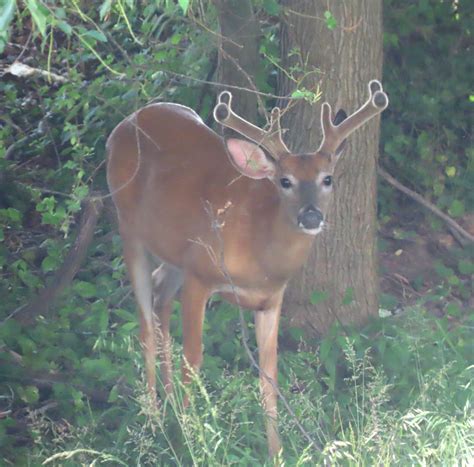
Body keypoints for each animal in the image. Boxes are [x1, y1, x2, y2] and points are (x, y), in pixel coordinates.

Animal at [106, 80, 388, 458]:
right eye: (285, 181)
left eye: (327, 178)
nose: (311, 216)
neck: (260, 252)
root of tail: (125, 124)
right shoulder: (200, 274)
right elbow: (193, 358)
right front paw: (189, 440)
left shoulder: (271, 298)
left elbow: (269, 374)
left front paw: (277, 452)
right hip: (129, 227)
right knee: (145, 323)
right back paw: (154, 420)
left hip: (174, 251)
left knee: (160, 295)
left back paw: (168, 406)